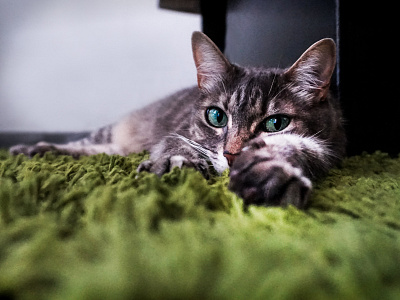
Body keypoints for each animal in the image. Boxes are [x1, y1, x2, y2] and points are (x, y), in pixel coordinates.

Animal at [10, 31, 346, 207]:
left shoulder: (329, 148)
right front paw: (176, 165)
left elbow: (297, 147)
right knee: (87, 144)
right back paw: (34, 149)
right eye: (216, 117)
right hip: (111, 132)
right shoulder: (177, 133)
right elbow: (178, 148)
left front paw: (268, 172)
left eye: (275, 123)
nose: (232, 155)